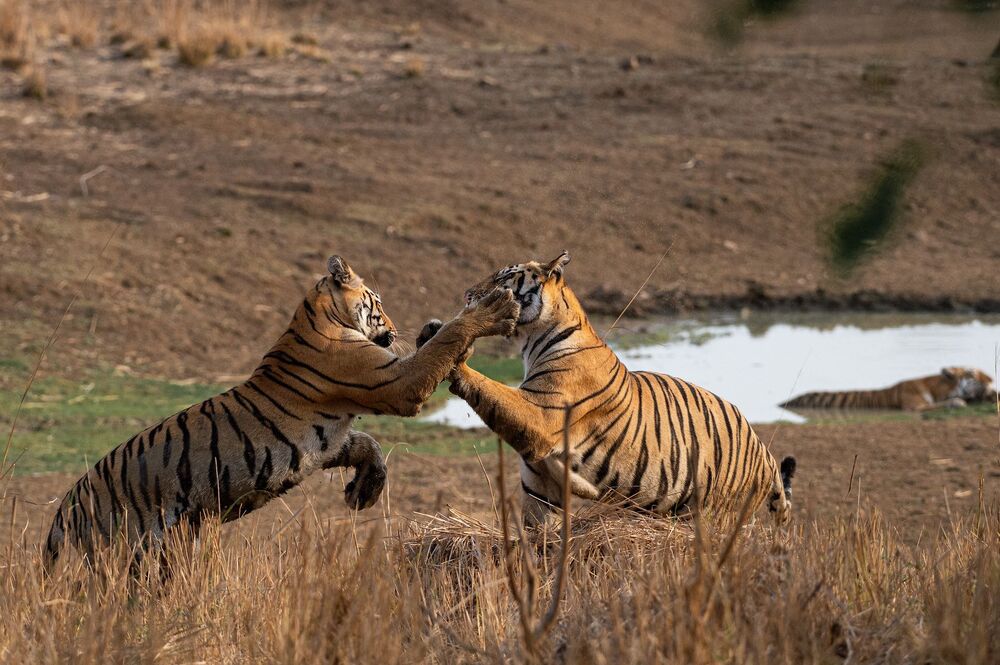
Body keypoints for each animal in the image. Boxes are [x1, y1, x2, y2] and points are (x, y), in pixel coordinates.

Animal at [45, 255, 521, 570]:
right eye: (378, 302)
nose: (393, 326)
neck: (318, 314)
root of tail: (69, 502)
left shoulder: (326, 441)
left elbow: (367, 444)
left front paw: (363, 492)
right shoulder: (394, 383)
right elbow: (446, 341)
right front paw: (496, 307)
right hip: (124, 553)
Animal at [417, 251, 796, 527]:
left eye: (502, 277)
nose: (466, 295)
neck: (531, 340)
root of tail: (762, 450)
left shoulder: (541, 415)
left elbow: (492, 388)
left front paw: (451, 351)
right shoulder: (540, 482)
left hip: (715, 512)